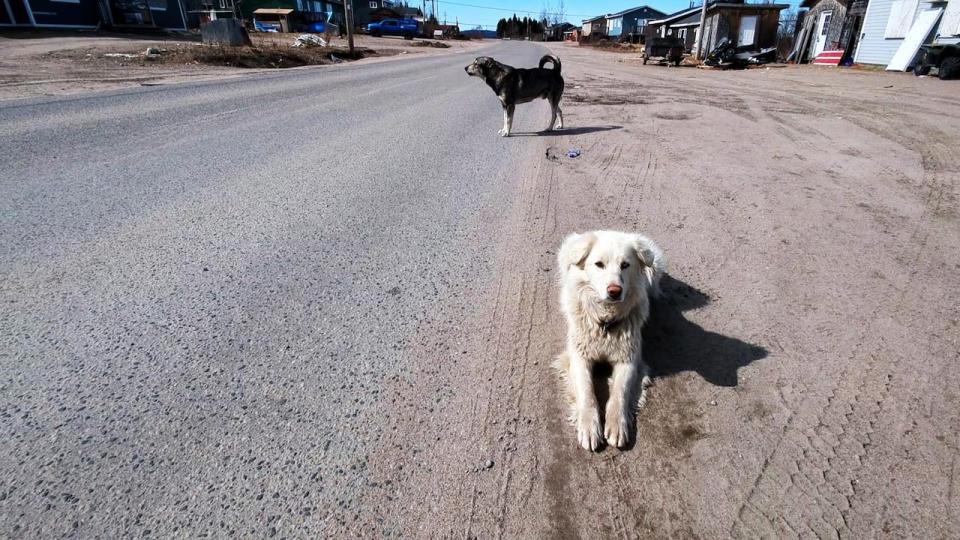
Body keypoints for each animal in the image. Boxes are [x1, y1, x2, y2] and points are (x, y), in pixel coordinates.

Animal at [552, 230, 664, 450]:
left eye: (625, 265)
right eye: (599, 264)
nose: (614, 291)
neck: (605, 323)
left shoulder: (628, 360)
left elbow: (620, 392)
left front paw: (617, 426)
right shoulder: (579, 358)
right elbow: (587, 392)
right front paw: (589, 427)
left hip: (654, 268)